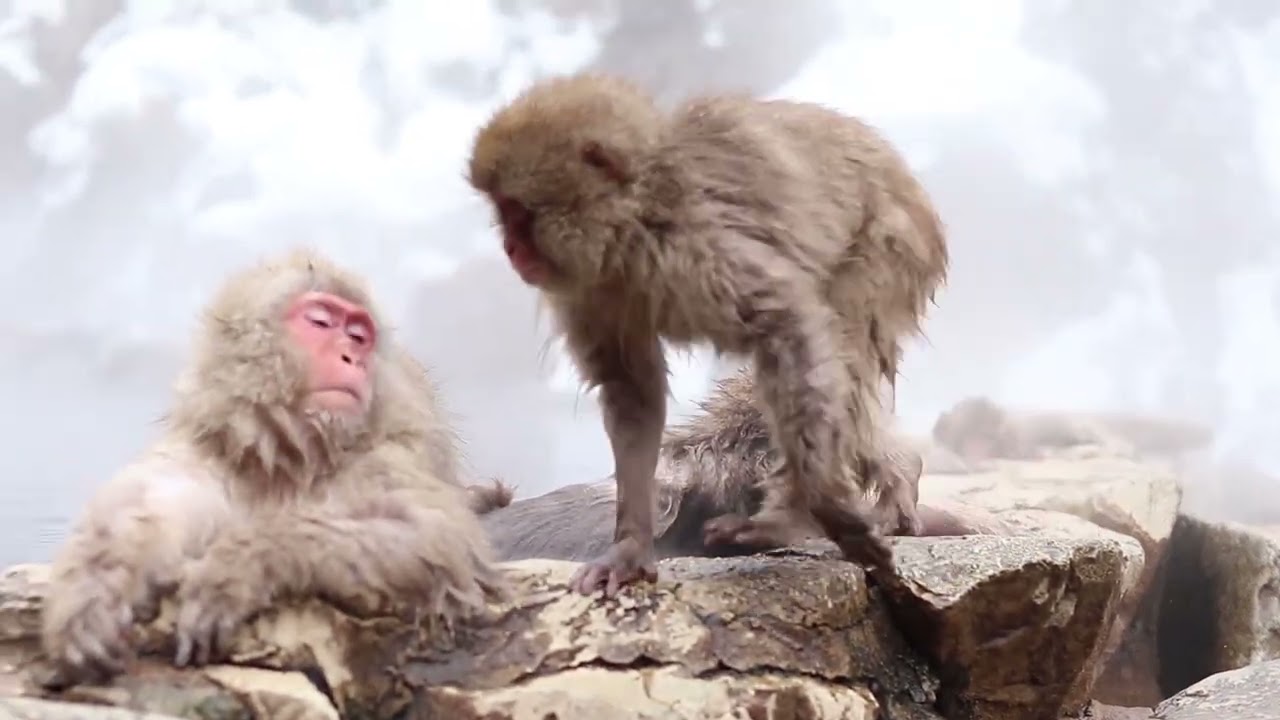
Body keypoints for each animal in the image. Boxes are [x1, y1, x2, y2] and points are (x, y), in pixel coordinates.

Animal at [40, 249, 508, 688]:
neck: (288, 456)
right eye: (320, 321)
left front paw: (238, 565)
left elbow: (438, 537)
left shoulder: (385, 454)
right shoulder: (211, 452)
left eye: (359, 335)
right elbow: (147, 507)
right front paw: (89, 598)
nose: (352, 358)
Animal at [468, 72, 948, 596]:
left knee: (833, 349)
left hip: (893, 240)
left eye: (516, 211)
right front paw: (630, 547)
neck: (635, 219)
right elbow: (631, 392)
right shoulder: (590, 291)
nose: (510, 247)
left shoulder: (699, 244)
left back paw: (791, 515)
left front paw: (830, 509)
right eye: (503, 211)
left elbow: (788, 324)